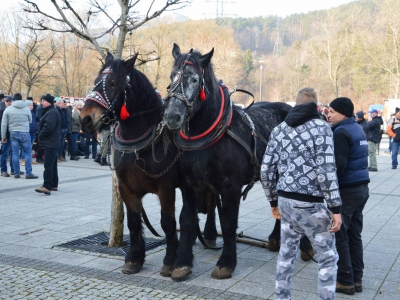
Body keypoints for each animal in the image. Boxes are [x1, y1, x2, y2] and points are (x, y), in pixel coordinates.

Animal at [79, 51, 219, 276]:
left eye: (112, 83)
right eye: (95, 81)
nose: (85, 119)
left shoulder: (166, 188)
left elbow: (168, 223)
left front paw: (170, 260)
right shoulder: (126, 188)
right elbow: (134, 222)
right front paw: (134, 258)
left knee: (211, 203)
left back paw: (209, 235)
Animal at [162, 43, 290, 280]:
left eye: (195, 79)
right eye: (172, 76)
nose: (172, 116)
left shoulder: (231, 186)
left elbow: (229, 223)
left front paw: (226, 263)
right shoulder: (189, 185)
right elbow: (187, 220)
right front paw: (182, 262)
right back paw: (276, 239)